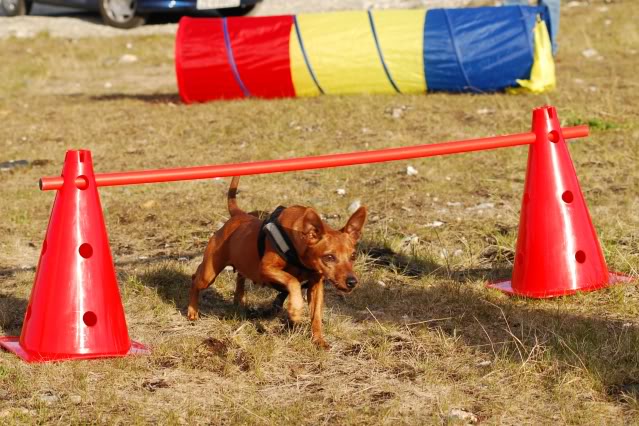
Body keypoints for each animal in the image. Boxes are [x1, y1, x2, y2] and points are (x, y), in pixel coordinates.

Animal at [190, 176, 368, 346]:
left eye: (353, 256)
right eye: (329, 257)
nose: (352, 282)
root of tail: (240, 215)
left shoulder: (316, 285)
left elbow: (316, 315)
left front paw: (318, 339)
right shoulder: (266, 268)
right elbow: (293, 280)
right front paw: (295, 308)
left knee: (240, 275)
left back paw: (239, 299)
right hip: (208, 275)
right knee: (195, 279)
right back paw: (192, 311)